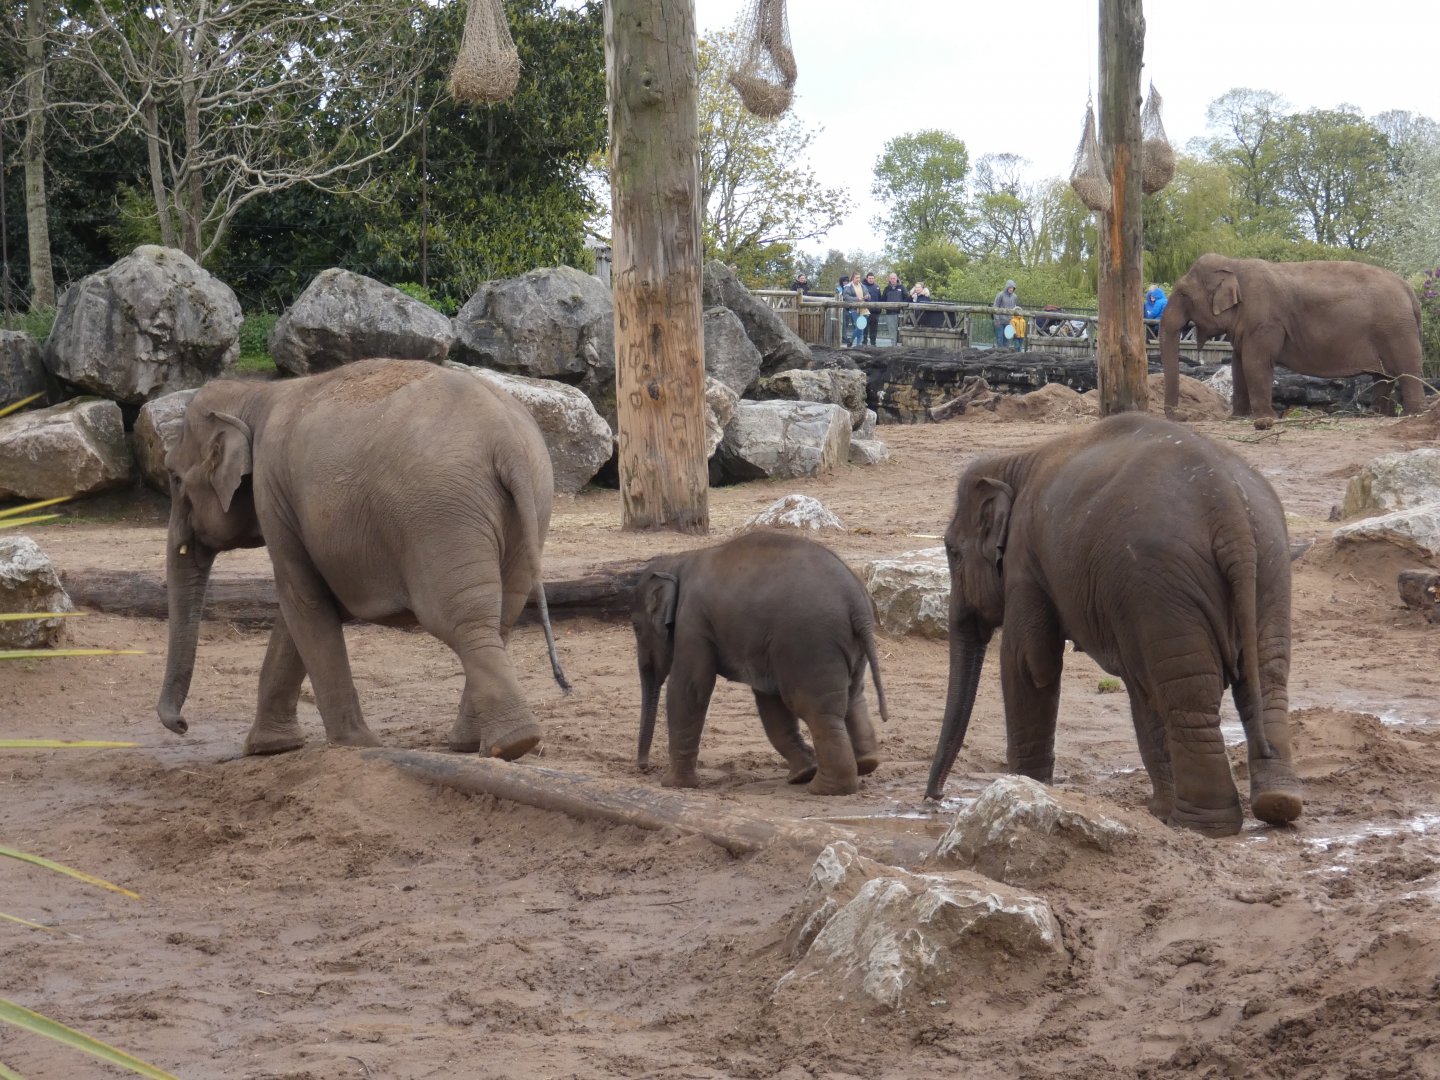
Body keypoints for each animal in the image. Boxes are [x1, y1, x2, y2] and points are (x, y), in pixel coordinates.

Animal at [157, 358, 568, 759]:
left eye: (174, 478)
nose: (181, 725)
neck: (254, 394)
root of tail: (507, 442)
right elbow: (301, 611)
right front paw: (269, 748)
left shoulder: (272, 493)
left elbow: (302, 600)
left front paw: (354, 744)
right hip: (529, 504)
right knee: (501, 616)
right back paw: (479, 745)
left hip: (440, 515)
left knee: (459, 618)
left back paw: (509, 744)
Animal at [630, 531, 889, 795]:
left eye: (636, 627)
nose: (643, 767)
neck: (679, 561)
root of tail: (857, 604)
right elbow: (769, 702)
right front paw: (803, 772)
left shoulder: (692, 620)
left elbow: (689, 689)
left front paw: (673, 784)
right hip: (844, 648)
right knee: (854, 697)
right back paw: (864, 764)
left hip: (809, 644)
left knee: (814, 708)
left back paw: (825, 788)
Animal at [927, 412, 1303, 838]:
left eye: (952, 552)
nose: (935, 797)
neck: (1016, 460)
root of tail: (1229, 512)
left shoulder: (1025, 559)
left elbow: (1030, 664)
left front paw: (1023, 786)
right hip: (1269, 569)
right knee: (1262, 679)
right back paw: (1274, 804)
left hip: (1161, 585)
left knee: (1184, 693)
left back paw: (1199, 826)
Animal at [1160, 253, 1427, 428]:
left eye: (1183, 294)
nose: (1182, 417)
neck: (1235, 264)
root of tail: (1409, 290)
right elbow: (1238, 364)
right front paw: (1236, 419)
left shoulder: (1266, 323)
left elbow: (1255, 362)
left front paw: (1265, 419)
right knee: (1382, 375)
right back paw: (1375, 416)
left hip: (1396, 329)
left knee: (1407, 370)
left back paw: (1412, 415)